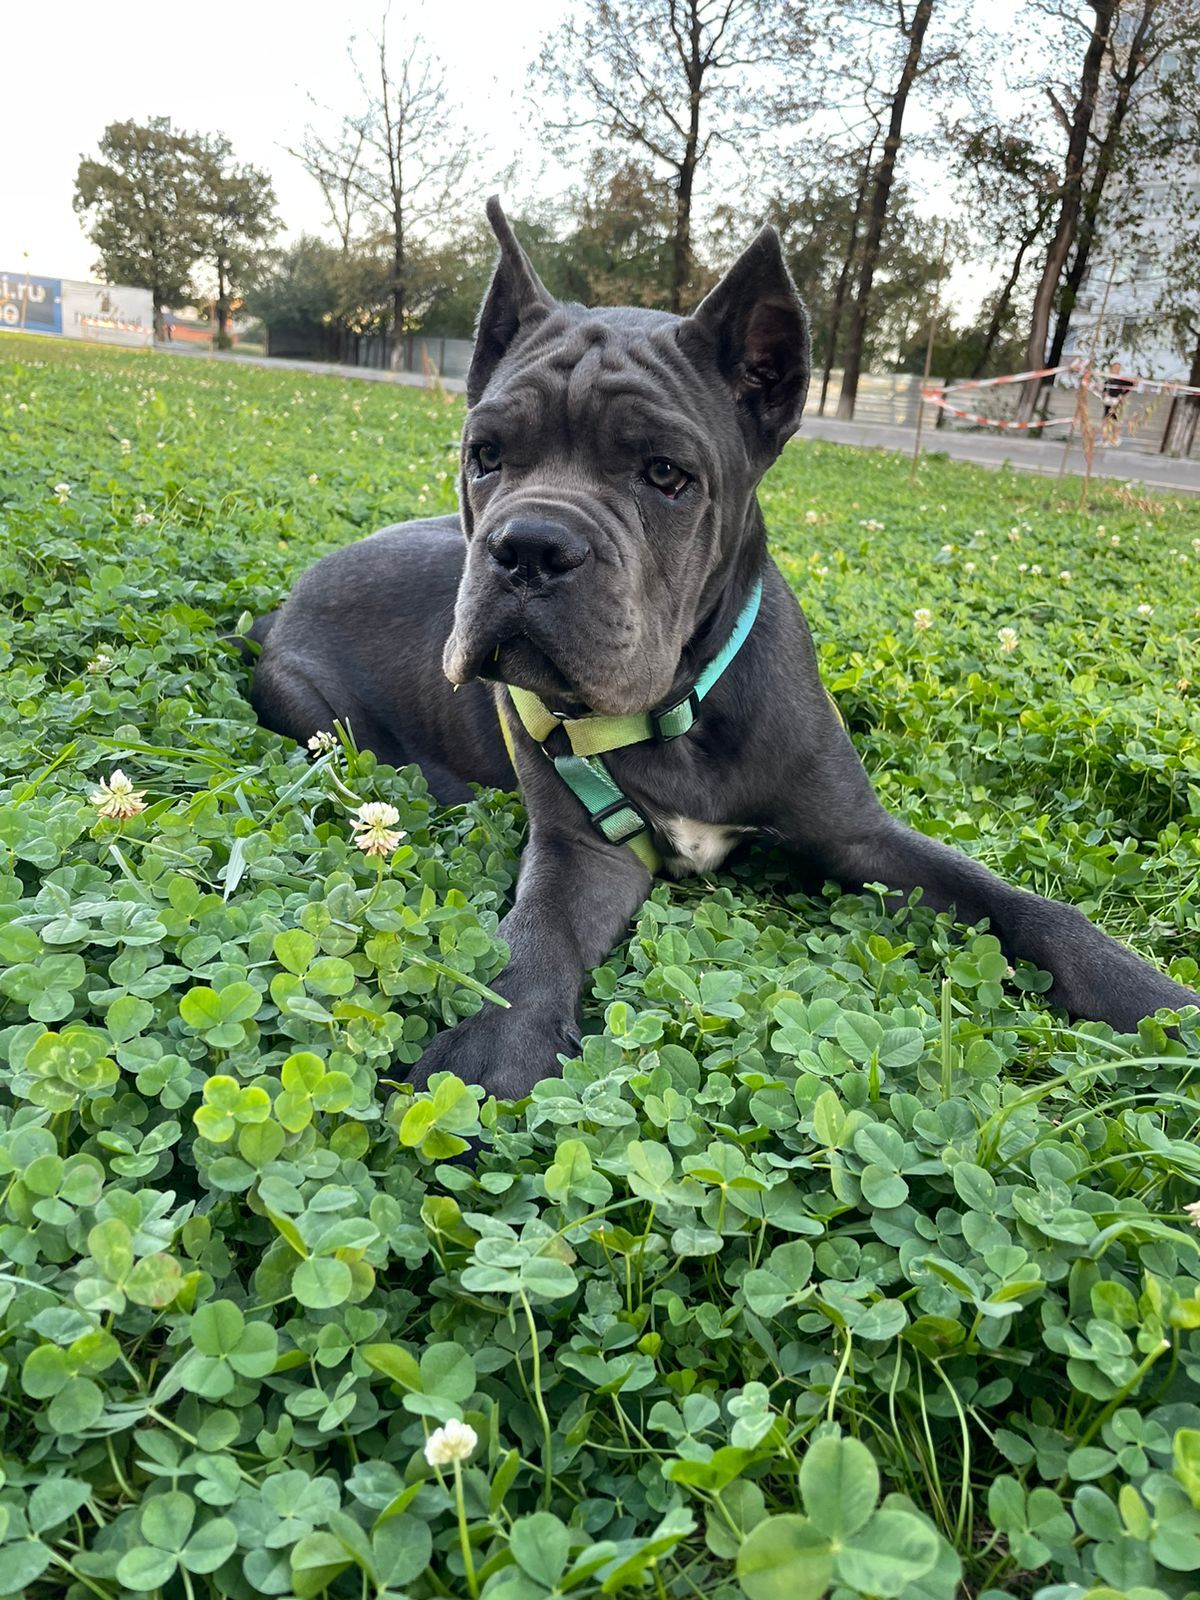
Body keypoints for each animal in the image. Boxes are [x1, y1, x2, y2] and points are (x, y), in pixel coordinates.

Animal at [249, 196, 1196, 1100]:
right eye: (484, 454)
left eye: (666, 474)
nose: (528, 547)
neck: (677, 706)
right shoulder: (584, 852)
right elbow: (535, 932)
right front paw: (493, 1046)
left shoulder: (862, 836)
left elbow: (1026, 906)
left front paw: (1155, 999)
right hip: (317, 712)